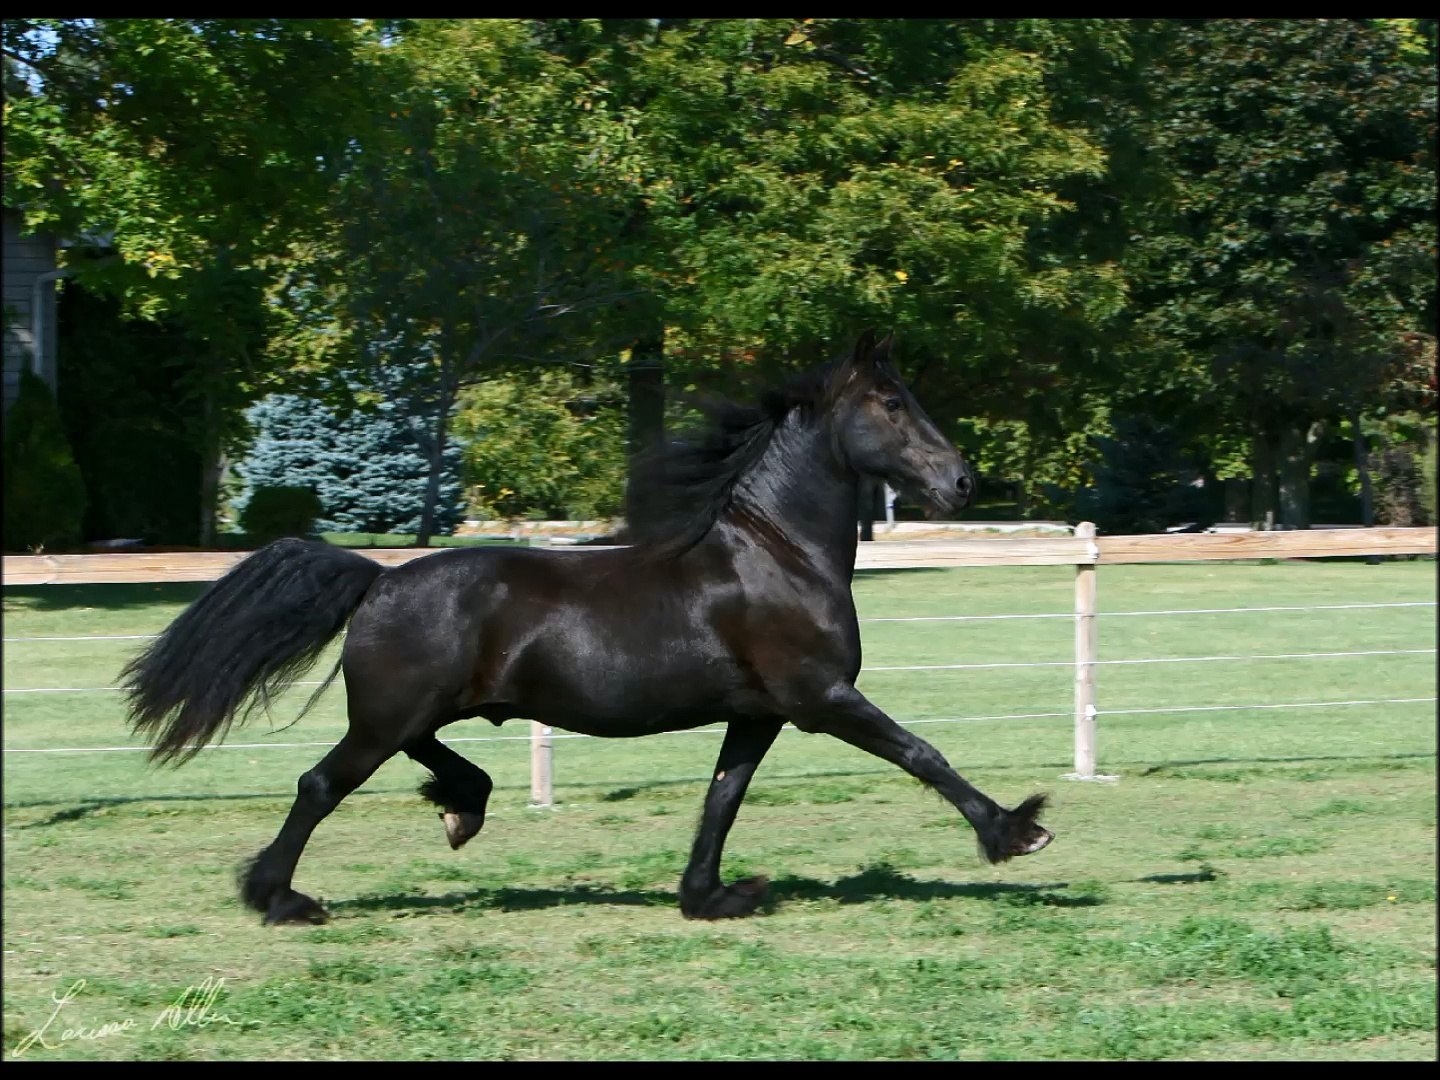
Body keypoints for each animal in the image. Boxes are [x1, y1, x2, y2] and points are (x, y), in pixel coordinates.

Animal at [120, 334, 1048, 927]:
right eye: (890, 402)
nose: (962, 483)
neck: (777, 555)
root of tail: (379, 578)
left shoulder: (759, 713)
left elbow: (723, 798)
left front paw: (711, 896)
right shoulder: (820, 697)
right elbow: (920, 752)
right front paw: (1016, 830)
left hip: (414, 709)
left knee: (420, 759)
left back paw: (462, 807)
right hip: (387, 715)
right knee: (319, 785)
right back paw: (282, 899)